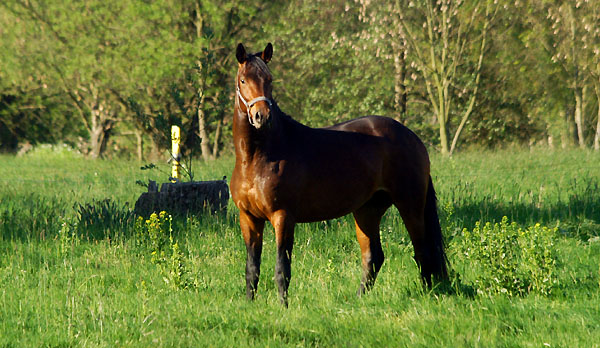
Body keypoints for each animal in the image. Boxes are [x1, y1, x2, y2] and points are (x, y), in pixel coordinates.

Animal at [232, 42, 448, 306]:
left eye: (269, 79)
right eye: (243, 80)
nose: (262, 116)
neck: (257, 157)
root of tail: (411, 136)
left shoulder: (282, 217)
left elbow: (282, 268)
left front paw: (283, 307)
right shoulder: (249, 218)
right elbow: (252, 268)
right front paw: (249, 304)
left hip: (410, 206)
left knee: (422, 250)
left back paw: (428, 294)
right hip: (367, 211)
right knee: (374, 256)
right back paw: (359, 299)